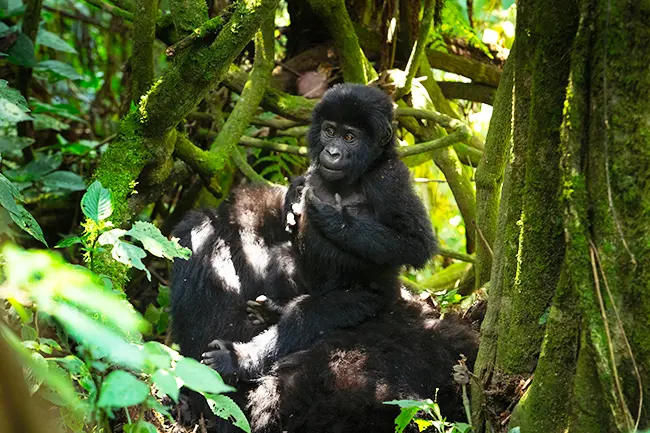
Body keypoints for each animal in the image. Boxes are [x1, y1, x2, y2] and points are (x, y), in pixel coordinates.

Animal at [202, 84, 436, 382]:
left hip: (371, 301)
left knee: (310, 315)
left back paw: (239, 359)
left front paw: (331, 217)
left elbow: (415, 244)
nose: (333, 152)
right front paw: (295, 194)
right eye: (329, 131)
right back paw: (275, 310)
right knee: (283, 259)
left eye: (350, 137)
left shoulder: (389, 179)